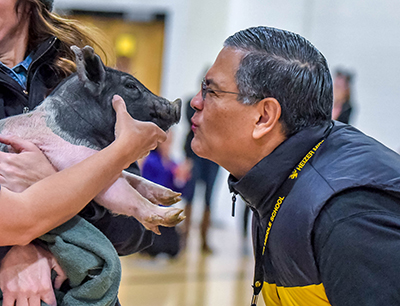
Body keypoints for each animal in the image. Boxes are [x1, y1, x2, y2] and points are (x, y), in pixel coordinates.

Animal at [0, 45, 184, 234]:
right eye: (131, 86)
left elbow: (132, 177)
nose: (178, 104)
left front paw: (173, 196)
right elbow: (123, 192)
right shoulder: (77, 157)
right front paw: (175, 215)